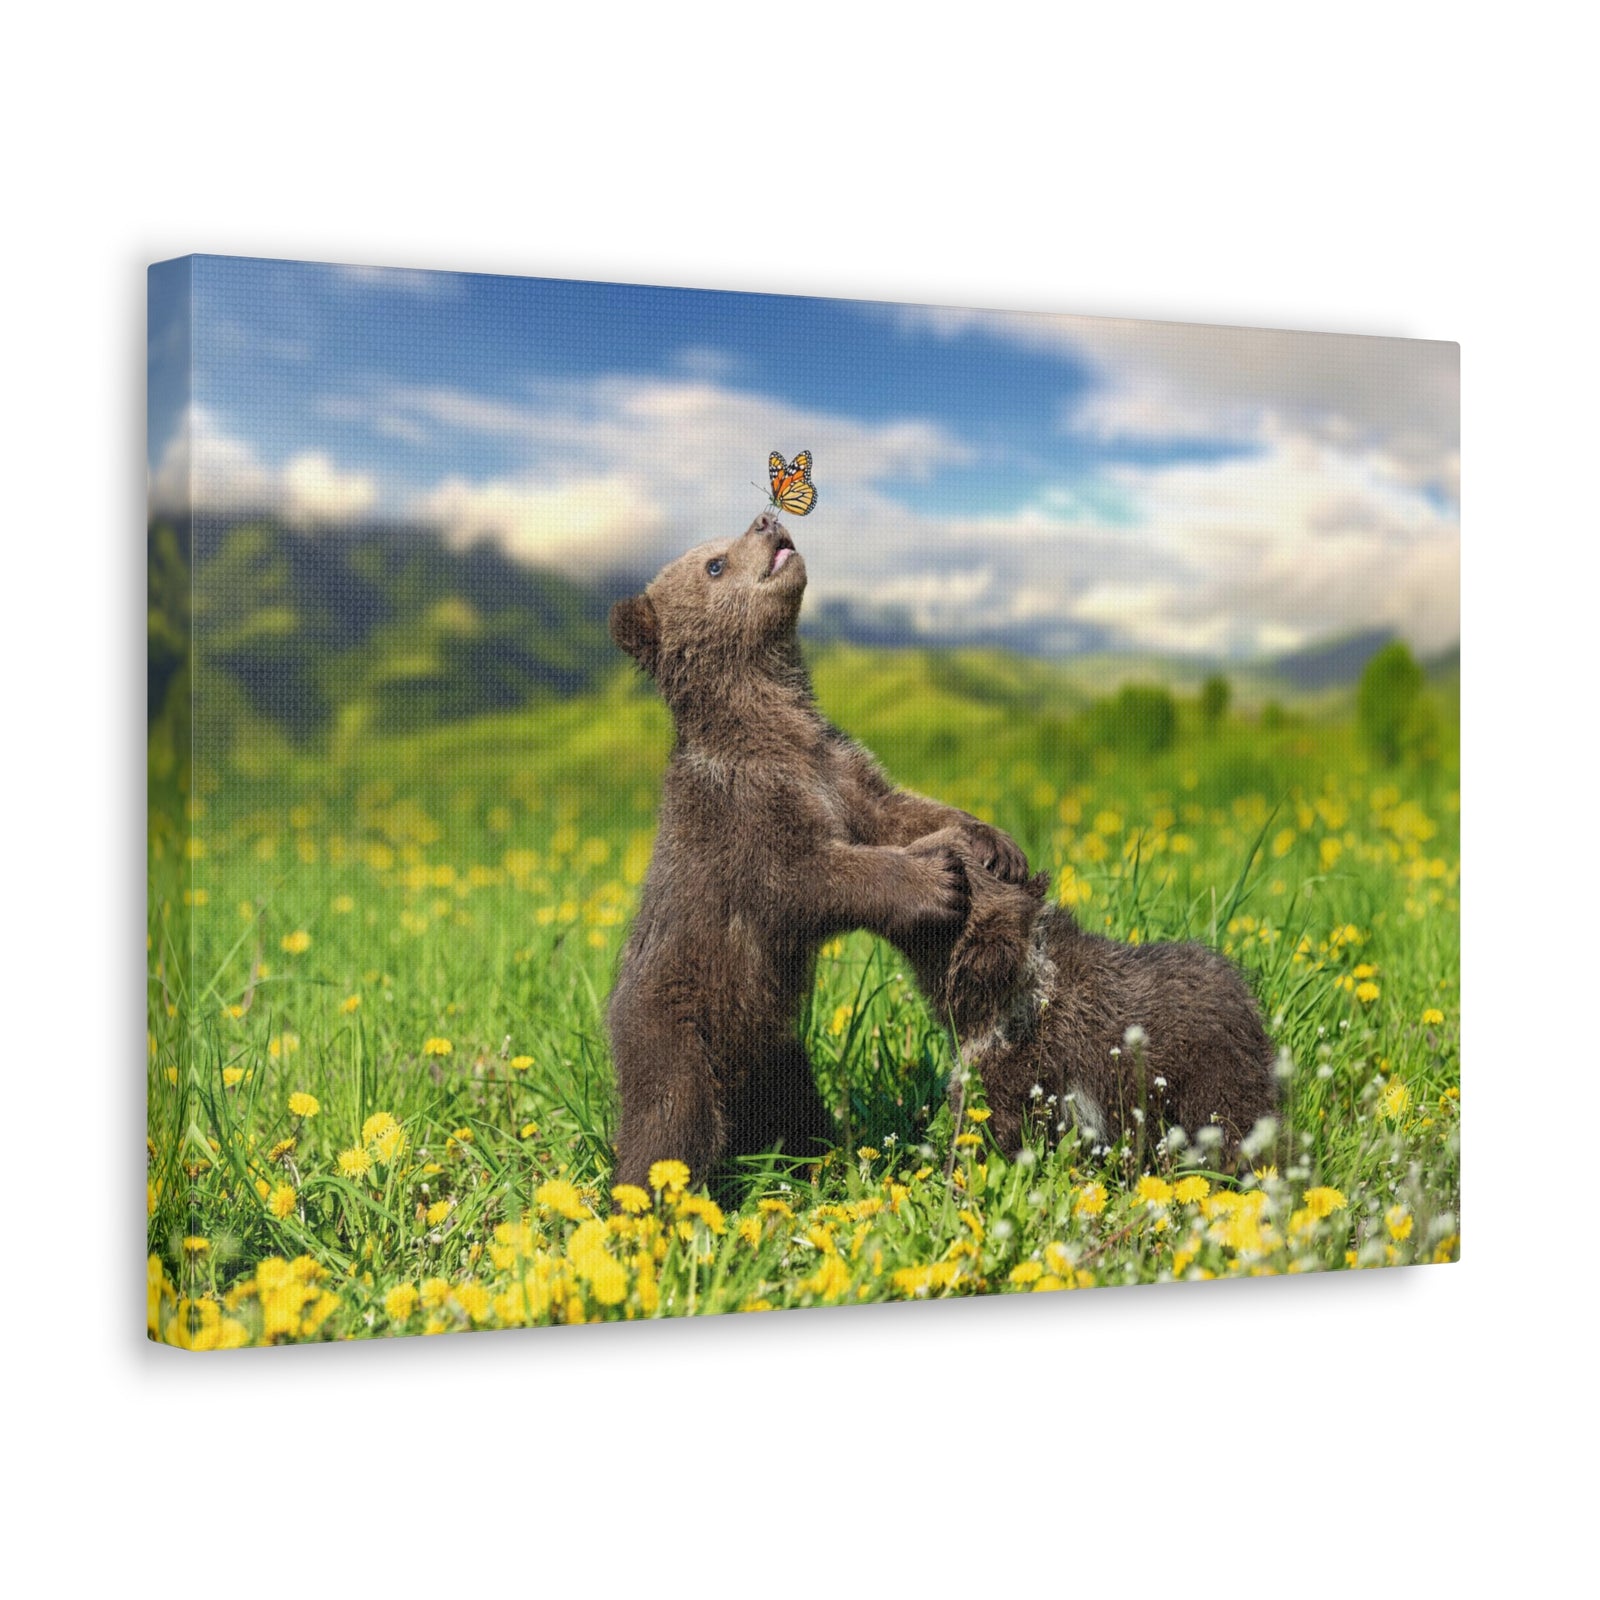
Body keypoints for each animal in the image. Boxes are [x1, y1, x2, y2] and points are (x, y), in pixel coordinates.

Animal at [606, 511, 1030, 1190]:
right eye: (714, 564)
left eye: (724, 543)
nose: (766, 519)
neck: (773, 728)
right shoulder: (745, 814)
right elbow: (803, 877)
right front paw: (935, 882)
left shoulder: (839, 770)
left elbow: (899, 811)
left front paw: (993, 842)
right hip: (675, 1029)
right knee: (670, 1124)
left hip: (777, 1049)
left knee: (797, 1108)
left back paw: (818, 1159)